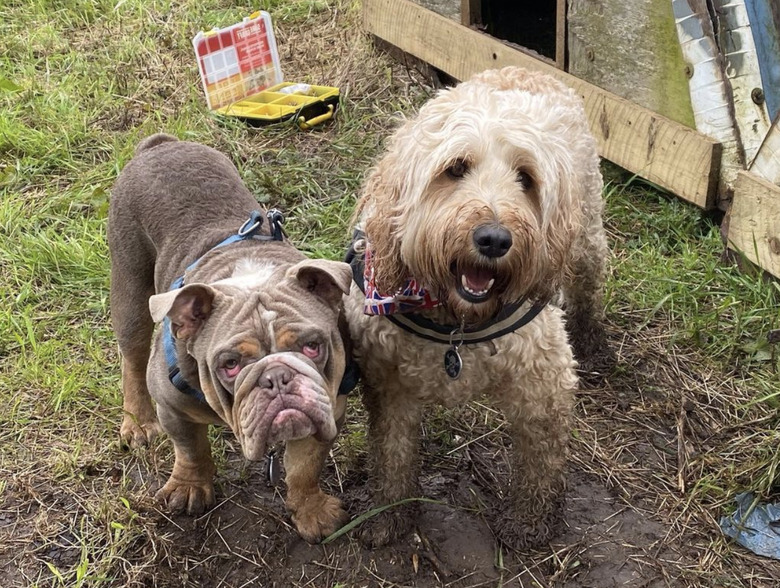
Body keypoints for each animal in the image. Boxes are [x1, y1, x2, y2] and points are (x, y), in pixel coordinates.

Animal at [348, 66, 608, 548]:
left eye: (526, 178)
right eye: (455, 168)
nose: (494, 239)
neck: (458, 323)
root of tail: (530, 68)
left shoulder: (544, 384)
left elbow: (539, 463)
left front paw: (527, 520)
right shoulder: (389, 386)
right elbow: (392, 454)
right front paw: (388, 514)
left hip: (585, 234)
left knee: (589, 286)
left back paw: (594, 341)